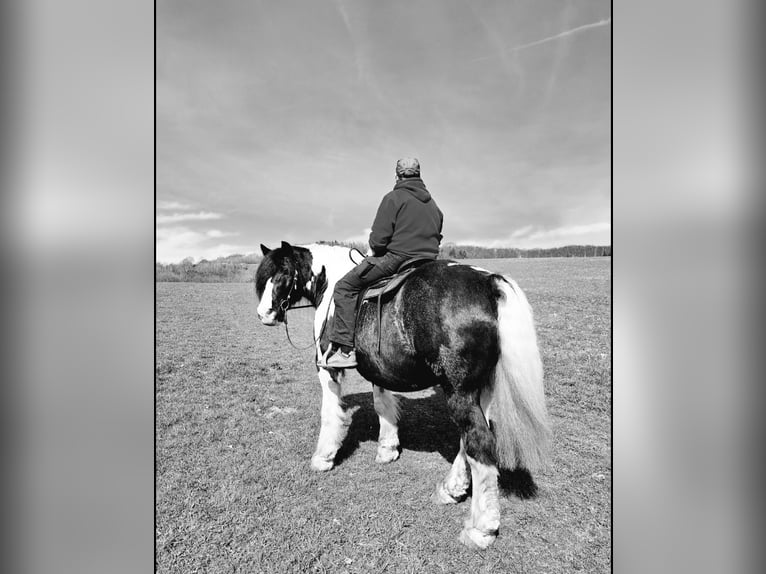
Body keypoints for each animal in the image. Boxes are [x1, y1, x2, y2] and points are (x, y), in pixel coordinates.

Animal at [258, 242, 552, 548]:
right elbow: (382, 405)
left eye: (282, 273)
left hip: (460, 391)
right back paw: (451, 489)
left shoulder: (327, 368)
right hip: (480, 391)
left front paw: (323, 457)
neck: (330, 284)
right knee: (472, 439)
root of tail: (489, 282)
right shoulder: (378, 369)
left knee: (479, 443)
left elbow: (330, 413)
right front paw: (387, 449)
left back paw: (481, 528)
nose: (263, 313)